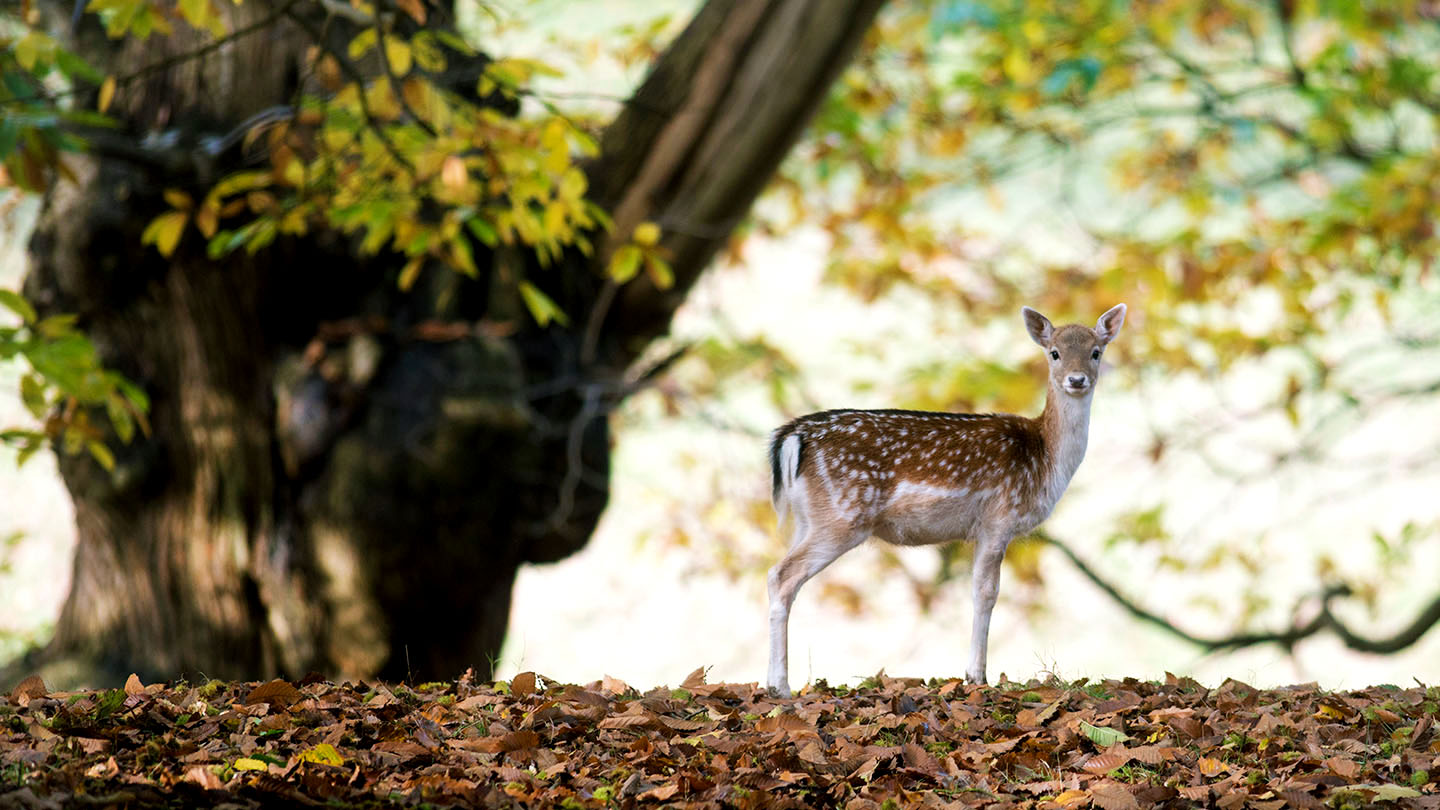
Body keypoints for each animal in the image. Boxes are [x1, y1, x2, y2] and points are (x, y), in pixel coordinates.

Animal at [766, 302, 1123, 694]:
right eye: (1054, 352)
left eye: (1096, 351)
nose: (1076, 379)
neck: (1045, 457)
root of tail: (792, 438)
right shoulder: (999, 517)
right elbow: (986, 592)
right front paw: (977, 676)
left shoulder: (983, 528)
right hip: (843, 515)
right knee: (781, 575)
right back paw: (780, 686)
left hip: (809, 518)